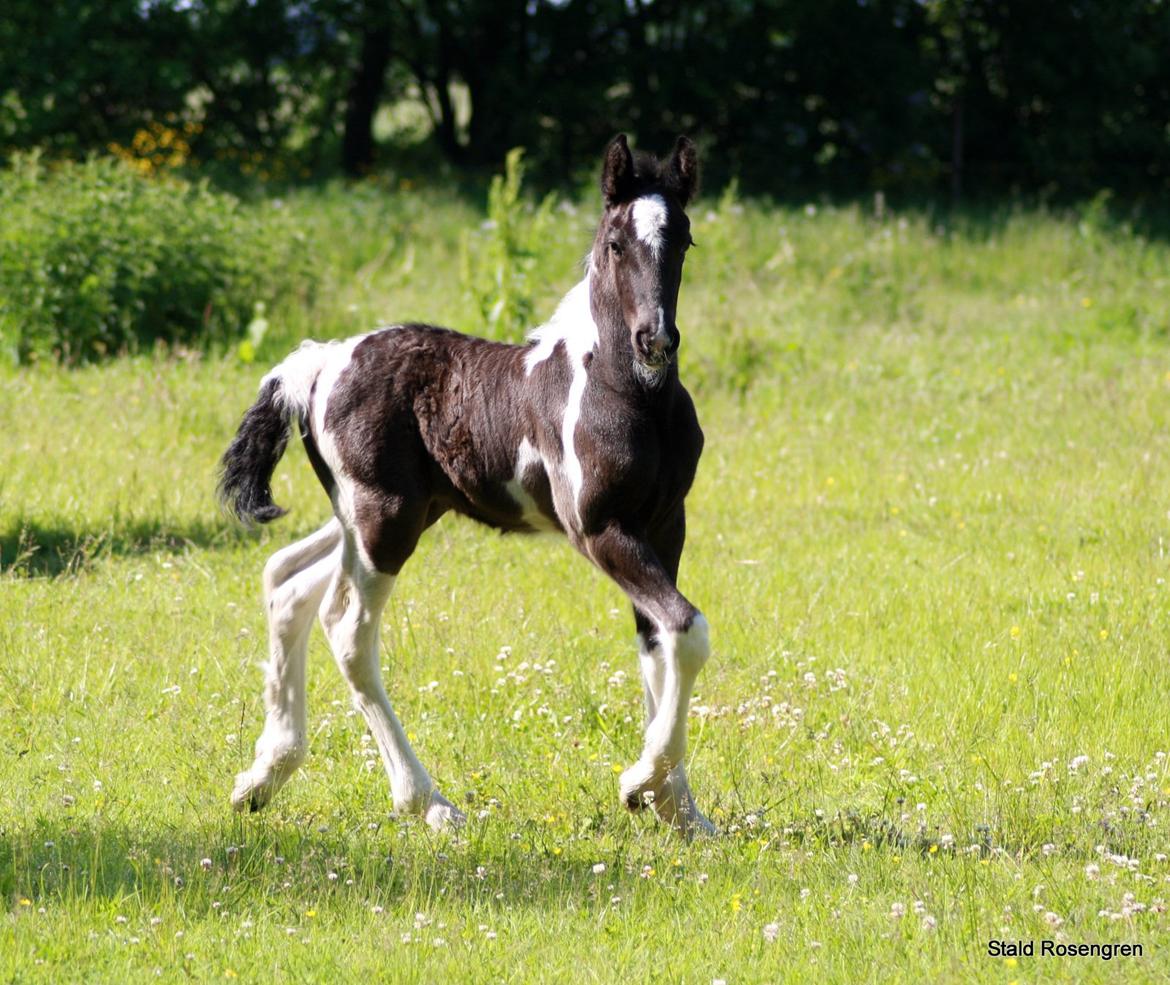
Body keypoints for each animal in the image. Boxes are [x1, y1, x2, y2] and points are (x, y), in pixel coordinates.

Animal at [217, 134, 711, 832]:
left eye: (685, 239)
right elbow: (687, 631)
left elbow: (656, 643)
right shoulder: (602, 531)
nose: (655, 341)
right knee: (347, 630)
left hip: (378, 515)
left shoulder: (664, 527)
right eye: (616, 242)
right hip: (385, 521)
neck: (627, 394)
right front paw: (642, 783)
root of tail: (319, 363)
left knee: (287, 582)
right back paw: (427, 802)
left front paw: (677, 808)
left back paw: (262, 778)